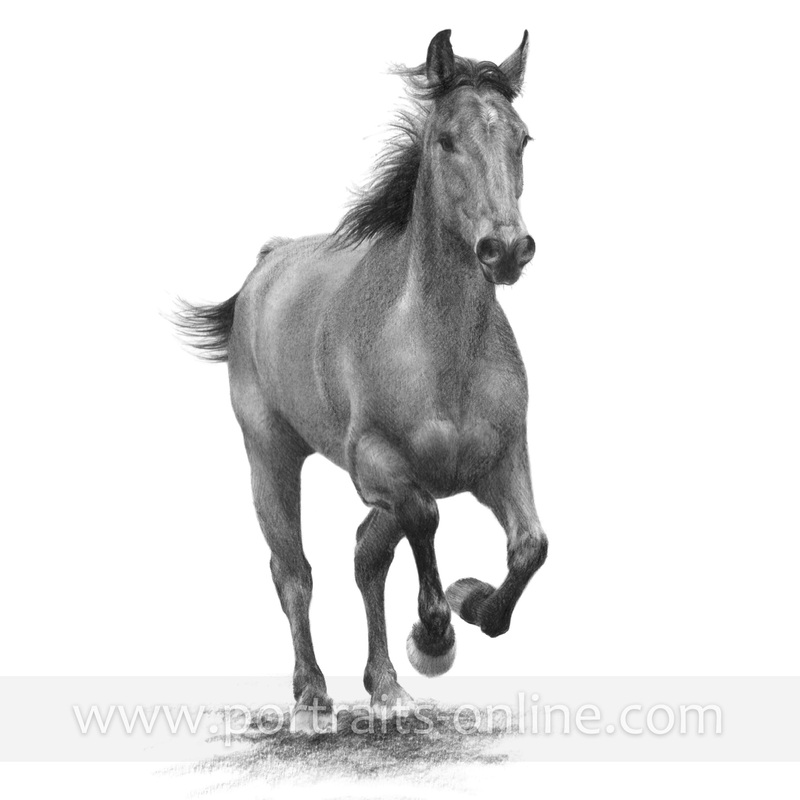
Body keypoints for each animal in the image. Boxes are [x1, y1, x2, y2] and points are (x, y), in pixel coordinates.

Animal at [175, 29, 548, 724]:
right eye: (445, 140)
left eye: (522, 137)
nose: (506, 250)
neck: (439, 354)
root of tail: (268, 263)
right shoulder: (378, 463)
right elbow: (424, 516)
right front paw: (435, 633)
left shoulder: (503, 461)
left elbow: (530, 547)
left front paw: (470, 604)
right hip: (269, 456)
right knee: (293, 572)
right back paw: (313, 694)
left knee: (365, 557)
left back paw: (386, 687)